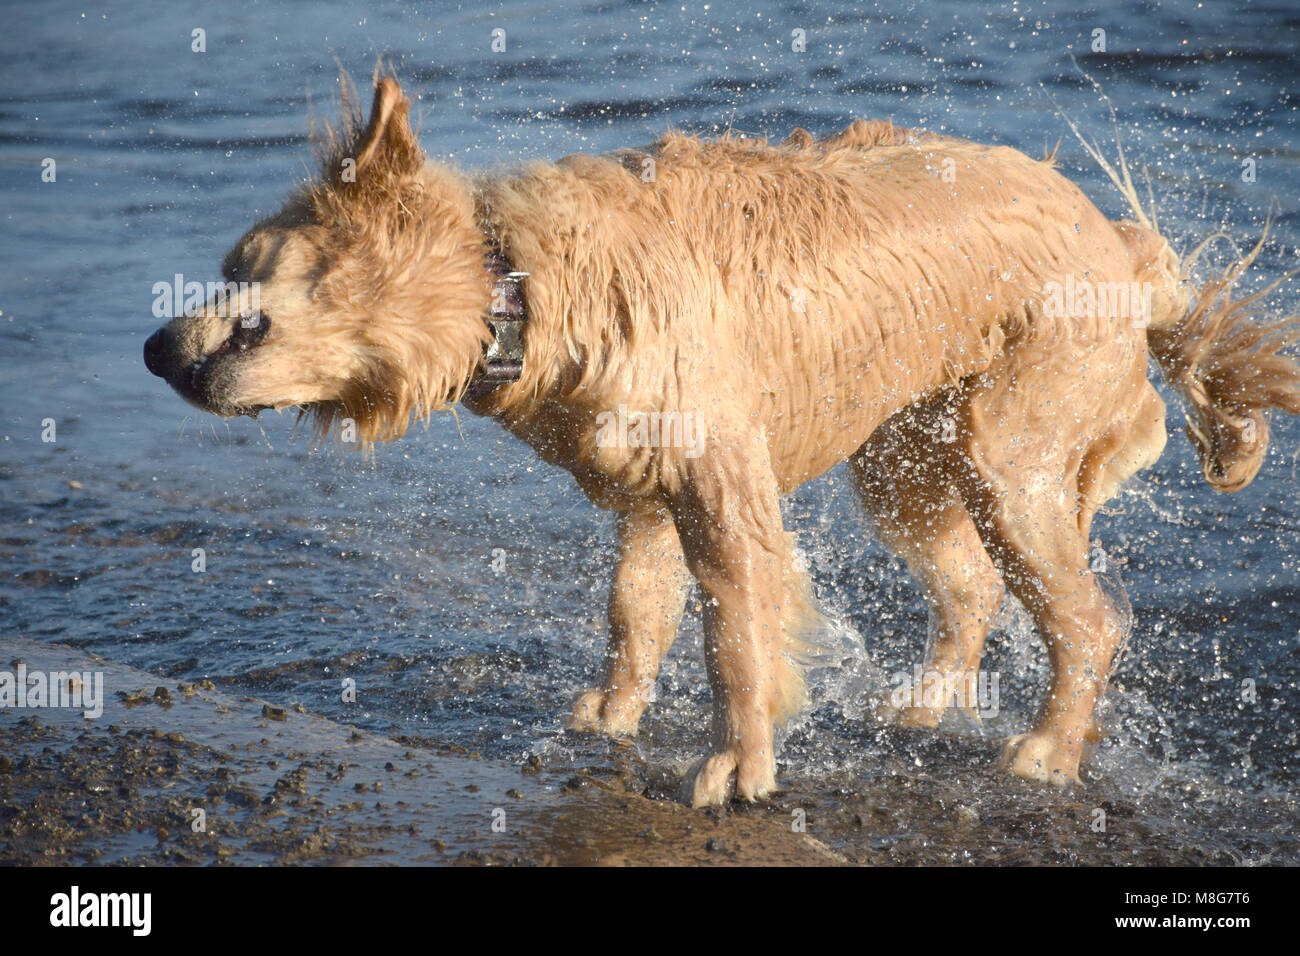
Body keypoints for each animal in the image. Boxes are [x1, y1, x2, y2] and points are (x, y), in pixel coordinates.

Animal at [144, 72, 1300, 806]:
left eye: (247, 280)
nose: (153, 348)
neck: (518, 282)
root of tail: (1121, 241)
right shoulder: (649, 488)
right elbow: (633, 610)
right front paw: (609, 714)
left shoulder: (720, 486)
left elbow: (733, 633)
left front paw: (736, 766)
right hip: (903, 454)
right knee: (971, 587)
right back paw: (924, 706)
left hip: (1007, 448)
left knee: (1088, 619)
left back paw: (1046, 750)